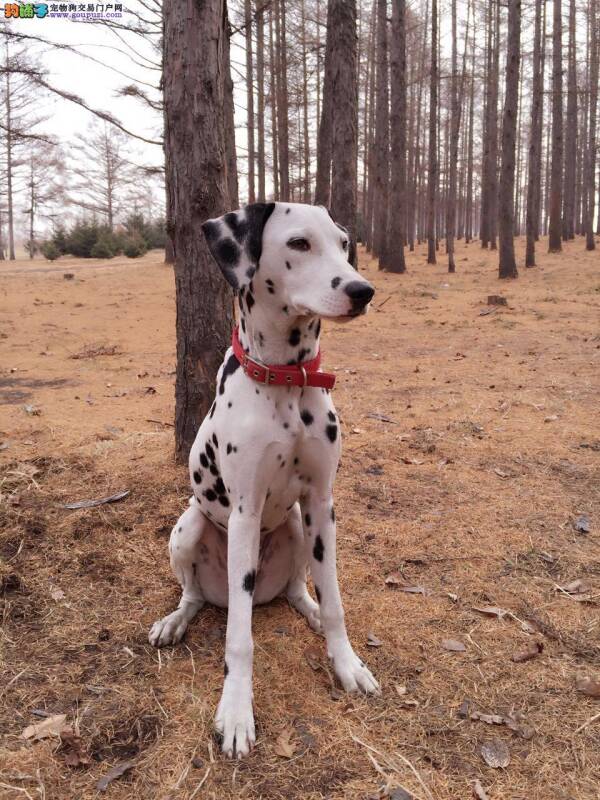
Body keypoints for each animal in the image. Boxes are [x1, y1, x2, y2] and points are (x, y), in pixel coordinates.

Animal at [148, 200, 378, 756]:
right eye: (298, 243)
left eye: (343, 243)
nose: (362, 290)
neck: (288, 380)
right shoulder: (245, 512)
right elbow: (240, 640)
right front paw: (235, 711)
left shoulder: (321, 504)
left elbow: (336, 601)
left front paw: (346, 662)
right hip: (189, 528)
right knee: (194, 596)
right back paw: (175, 621)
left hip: (296, 525)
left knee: (299, 588)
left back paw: (307, 609)